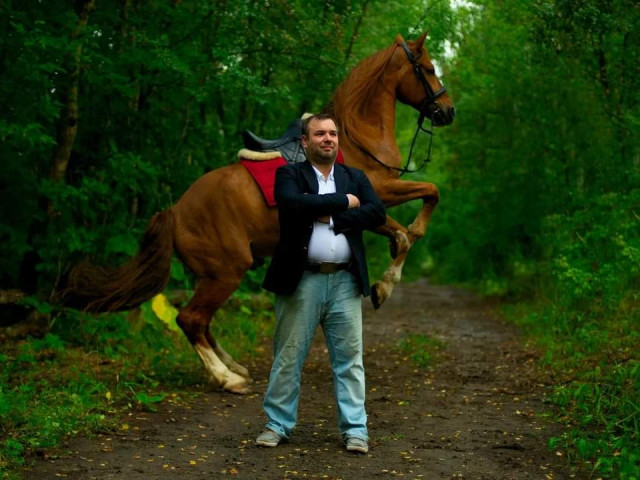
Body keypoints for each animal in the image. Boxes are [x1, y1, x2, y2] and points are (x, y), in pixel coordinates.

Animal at [61, 31, 456, 394]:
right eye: (429, 68)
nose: (448, 110)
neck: (355, 136)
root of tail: (174, 211)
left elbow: (410, 220)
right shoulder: (377, 194)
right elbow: (416, 217)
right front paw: (384, 286)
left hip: (214, 275)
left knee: (201, 322)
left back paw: (233, 366)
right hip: (226, 272)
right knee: (190, 318)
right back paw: (227, 378)